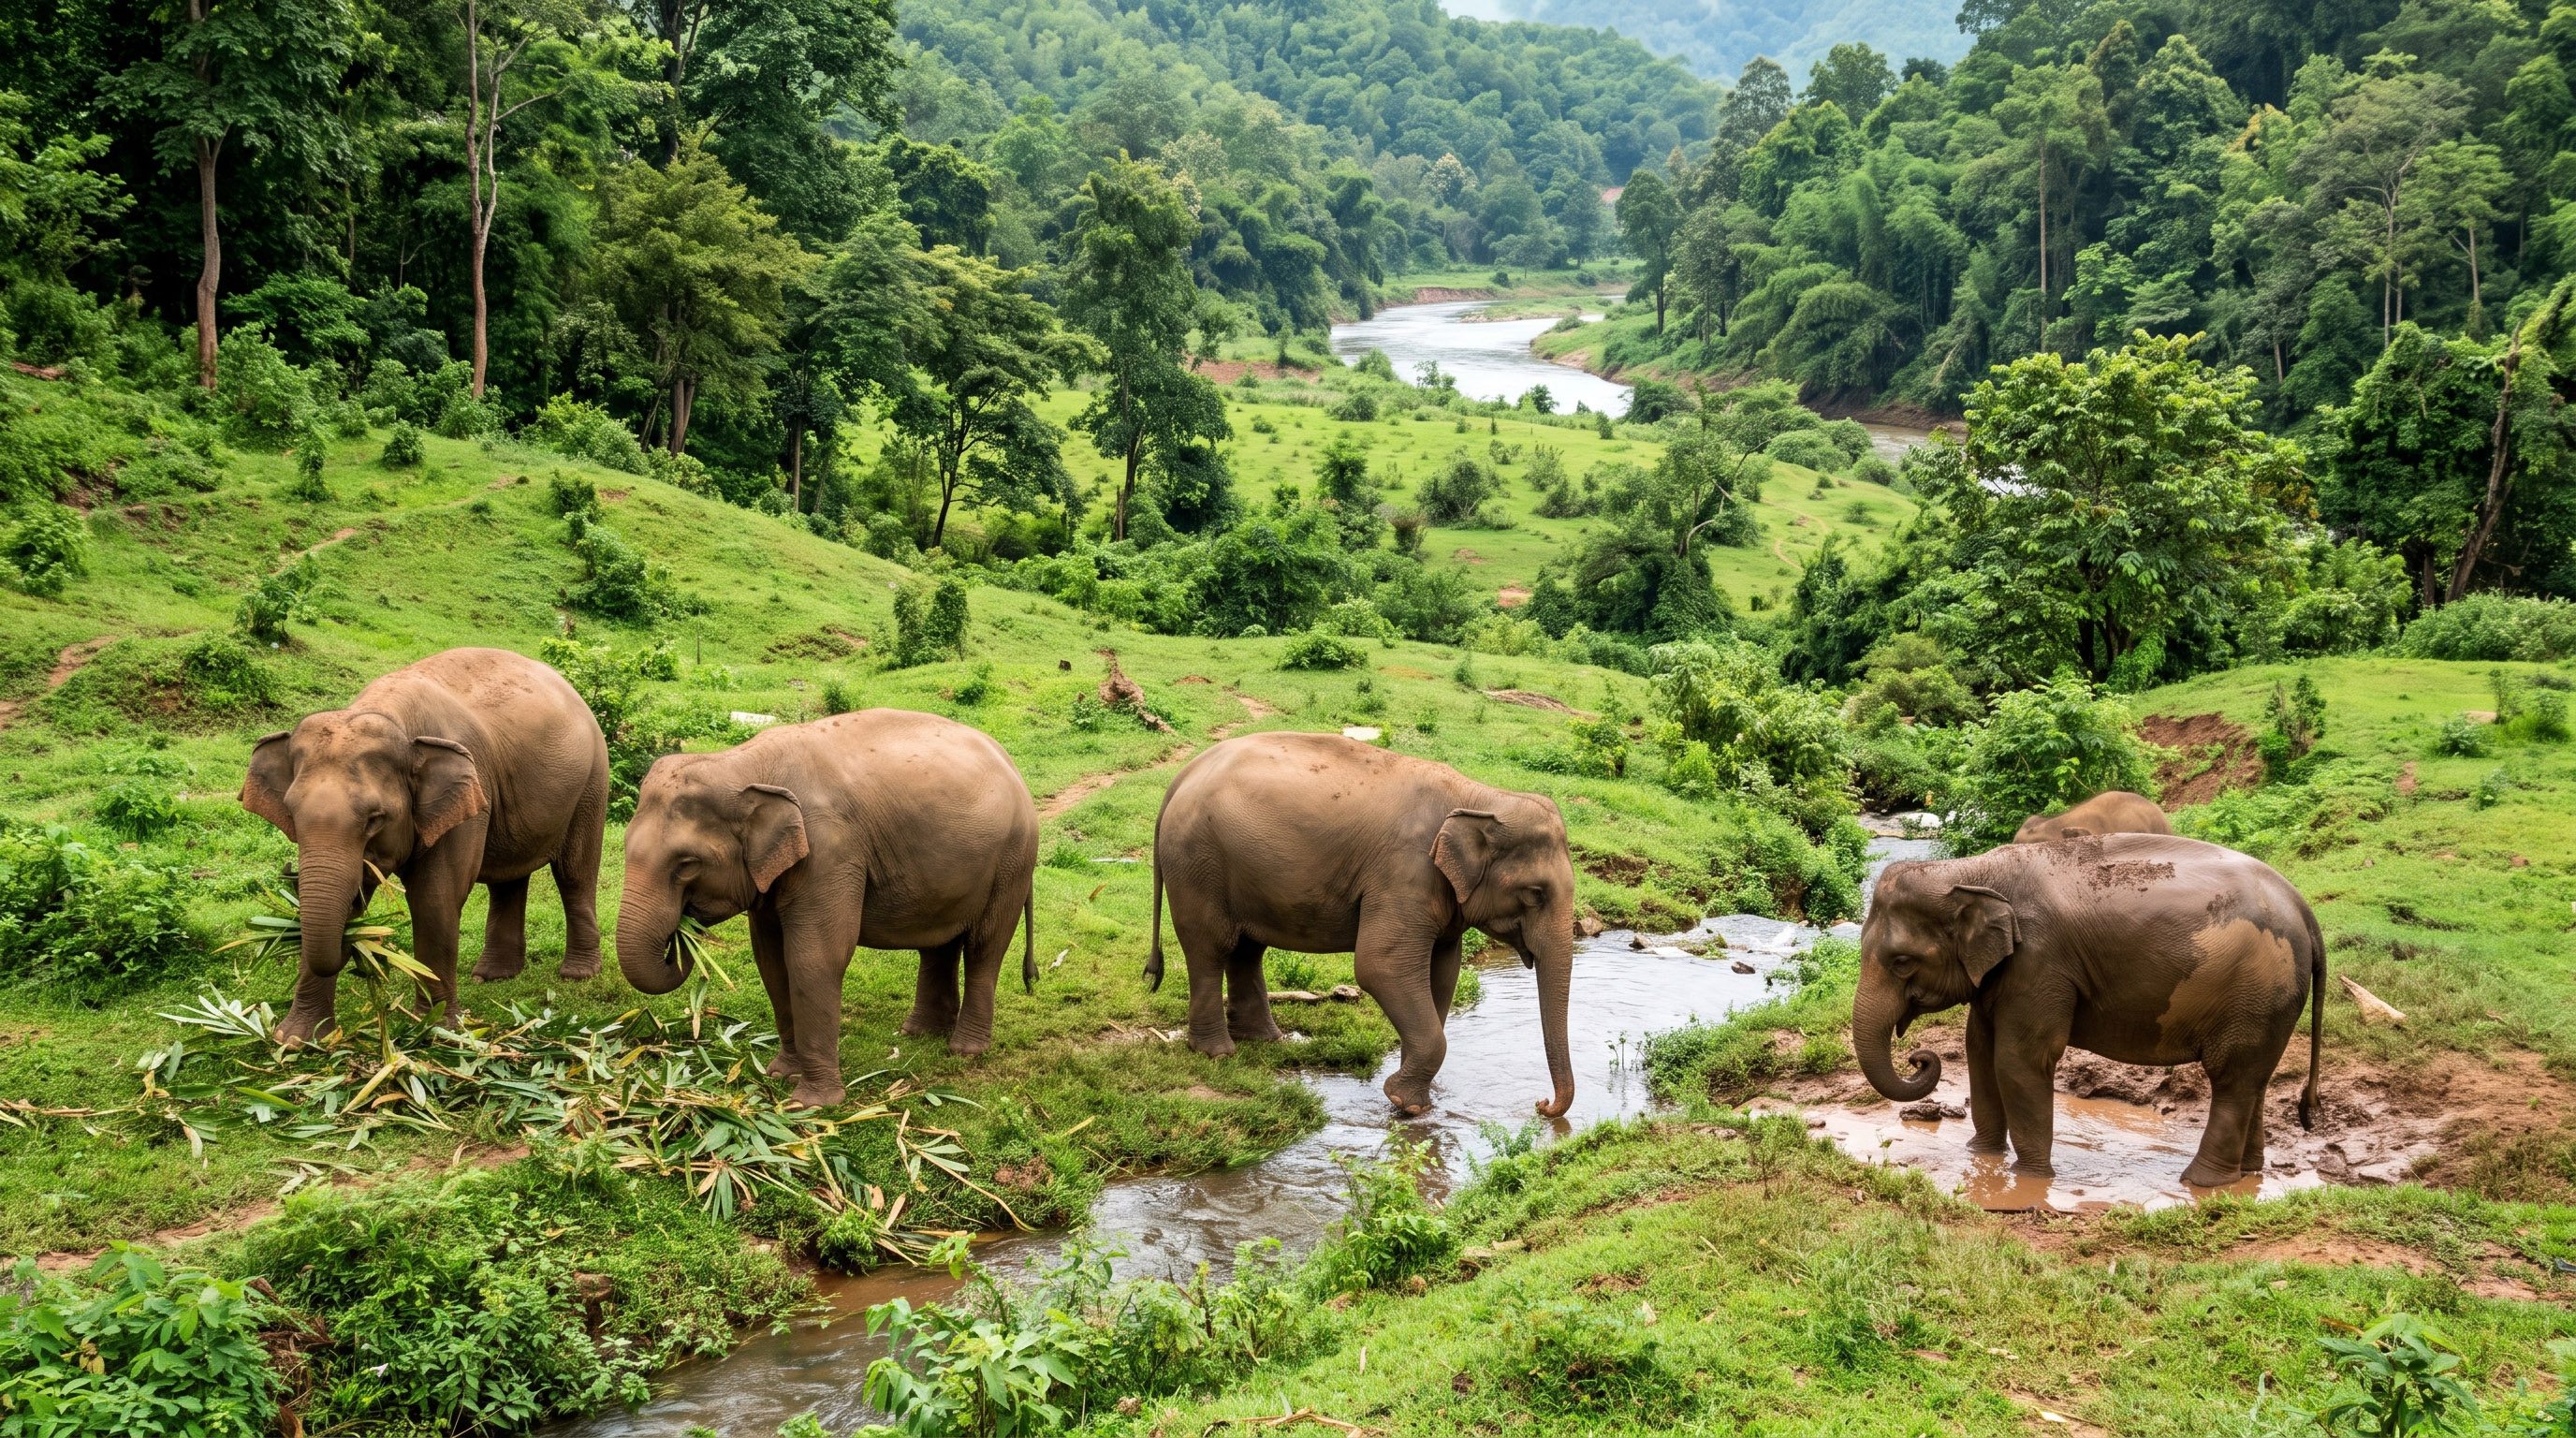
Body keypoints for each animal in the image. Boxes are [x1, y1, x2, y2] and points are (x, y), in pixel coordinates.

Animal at [241, 647, 609, 1045]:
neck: (391, 716)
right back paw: (492, 976)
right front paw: (295, 1039)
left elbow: (434, 897)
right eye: (292, 815)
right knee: (508, 879)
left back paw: (577, 974)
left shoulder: (469, 791)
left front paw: (435, 1030)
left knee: (574, 873)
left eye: (374, 820)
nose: (356, 954)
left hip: (592, 782)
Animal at [614, 708, 1038, 1109]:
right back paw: (918, 1034)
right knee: (939, 944)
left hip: (1013, 861)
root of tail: (1012, 764)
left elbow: (815, 958)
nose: (682, 933)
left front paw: (810, 1104)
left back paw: (964, 1051)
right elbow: (771, 959)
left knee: (984, 947)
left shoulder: (830, 851)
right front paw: (780, 1075)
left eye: (687, 865)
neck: (742, 764)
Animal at [1145, 732, 1577, 1119]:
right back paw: (1217, 1052)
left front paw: (1419, 1097)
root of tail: (1180, 778)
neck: (1482, 797)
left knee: (1247, 948)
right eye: (1536, 894)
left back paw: (1265, 1040)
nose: (1541, 1105)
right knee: (1211, 946)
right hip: (1197, 862)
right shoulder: (1405, 874)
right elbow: (1381, 966)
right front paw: (1407, 1104)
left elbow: (1443, 972)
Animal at [1854, 834, 2324, 1188]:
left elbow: (2019, 1060)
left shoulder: (2040, 961)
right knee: (2253, 1080)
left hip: (2258, 990)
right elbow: (1979, 1052)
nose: (1918, 1058)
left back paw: (2200, 1183)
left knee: (2231, 1079)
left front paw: (2031, 1178)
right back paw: (2248, 1174)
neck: (1966, 871)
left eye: (1902, 962)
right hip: (2268, 1002)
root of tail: (2304, 909)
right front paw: (1981, 1156)